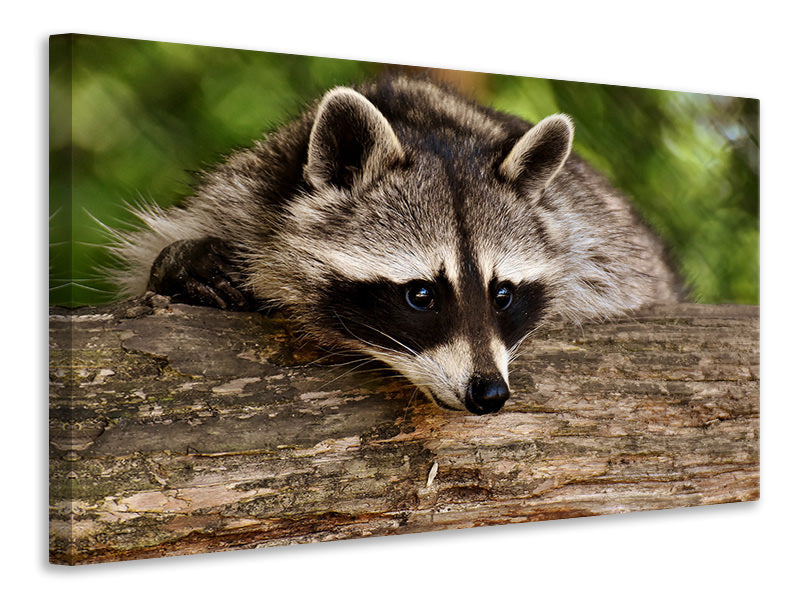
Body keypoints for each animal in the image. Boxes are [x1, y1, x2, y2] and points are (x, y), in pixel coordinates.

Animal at [112, 76, 683, 415]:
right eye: (421, 295)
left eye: (502, 294)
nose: (489, 394)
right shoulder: (240, 194)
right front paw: (180, 264)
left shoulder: (595, 239)